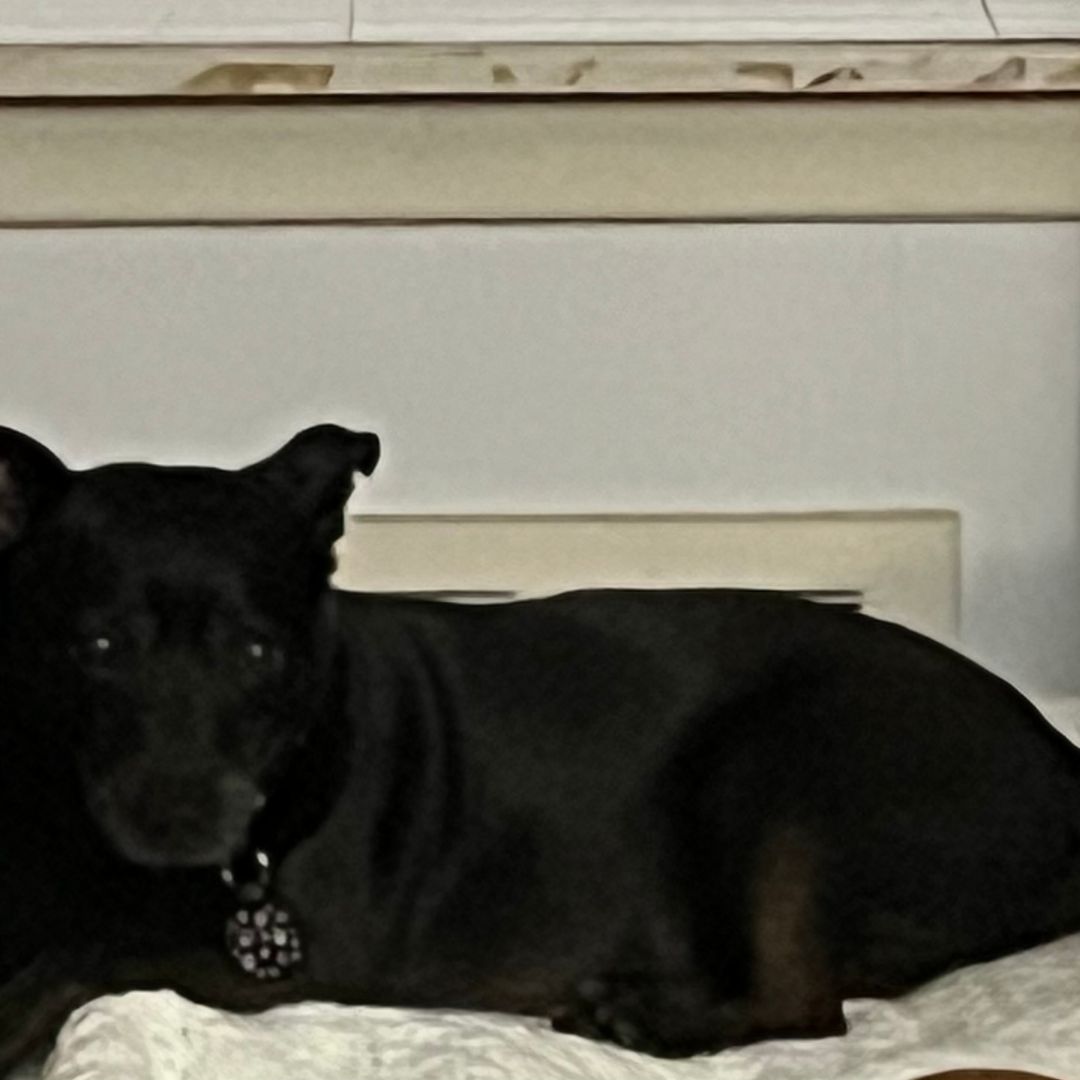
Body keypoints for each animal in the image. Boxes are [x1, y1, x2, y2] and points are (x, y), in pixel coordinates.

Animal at [2, 423, 1080, 1070]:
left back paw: (647, 1016)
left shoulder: (297, 960)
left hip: (779, 763)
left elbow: (90, 957)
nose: (180, 823)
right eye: (98, 647)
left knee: (810, 1002)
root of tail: (1061, 765)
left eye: (256, 651)